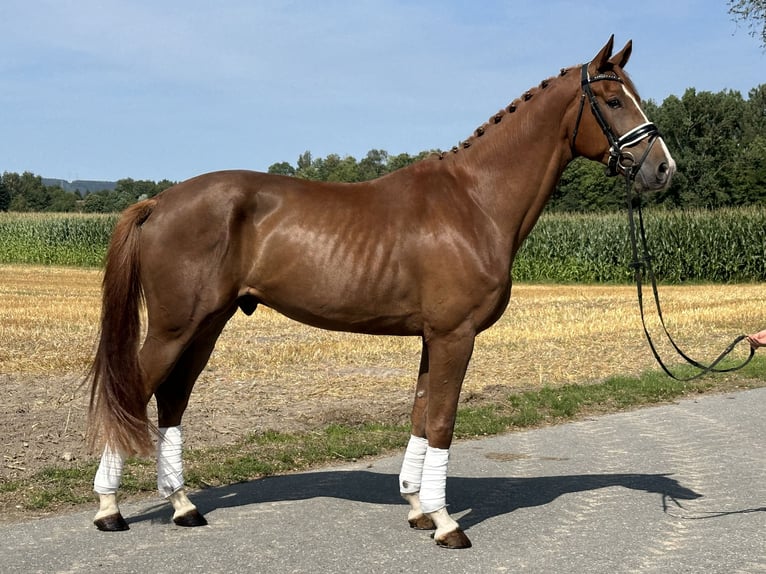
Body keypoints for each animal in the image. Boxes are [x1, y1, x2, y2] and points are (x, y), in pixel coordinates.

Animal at [87, 38, 676, 552]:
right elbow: (441, 423)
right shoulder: (455, 335)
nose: (663, 168)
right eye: (613, 100)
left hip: (207, 324)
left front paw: (418, 508)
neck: (474, 201)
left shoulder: (432, 337)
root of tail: (160, 201)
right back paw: (109, 509)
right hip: (173, 327)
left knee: (172, 399)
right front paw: (447, 525)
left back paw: (182, 506)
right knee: (135, 394)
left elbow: (419, 416)